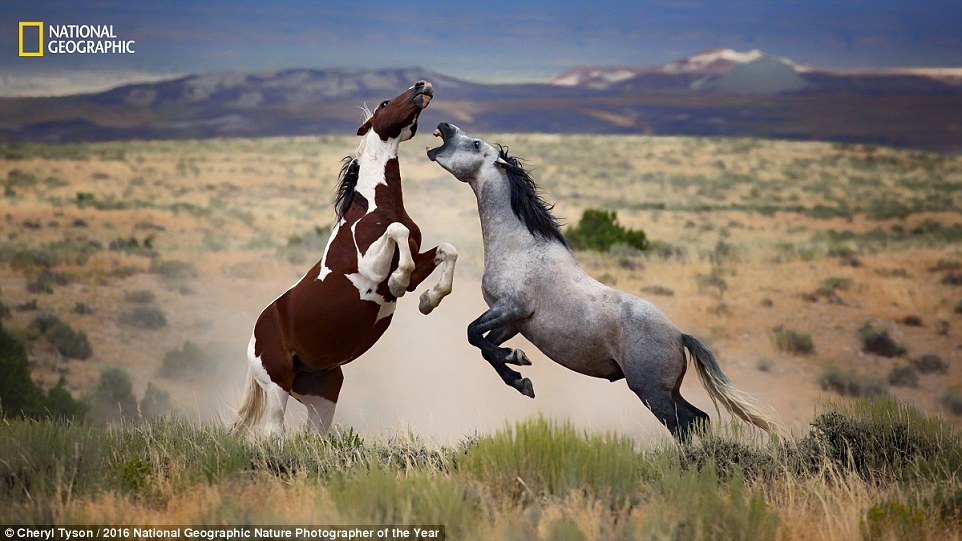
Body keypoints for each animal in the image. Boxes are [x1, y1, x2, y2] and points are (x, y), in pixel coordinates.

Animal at [232, 81, 458, 434]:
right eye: (385, 102)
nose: (422, 85)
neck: (375, 206)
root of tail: (253, 341)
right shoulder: (371, 267)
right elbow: (396, 233)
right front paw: (399, 281)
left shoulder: (419, 259)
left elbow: (447, 250)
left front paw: (428, 300)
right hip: (277, 384)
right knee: (273, 432)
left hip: (323, 395)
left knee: (312, 433)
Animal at [428, 122, 780, 438]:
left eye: (475, 144)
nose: (444, 126)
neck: (521, 247)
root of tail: (679, 335)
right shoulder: (514, 322)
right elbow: (485, 347)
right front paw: (521, 379)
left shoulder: (510, 308)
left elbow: (473, 334)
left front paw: (518, 361)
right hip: (669, 392)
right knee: (700, 420)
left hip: (652, 393)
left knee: (683, 427)